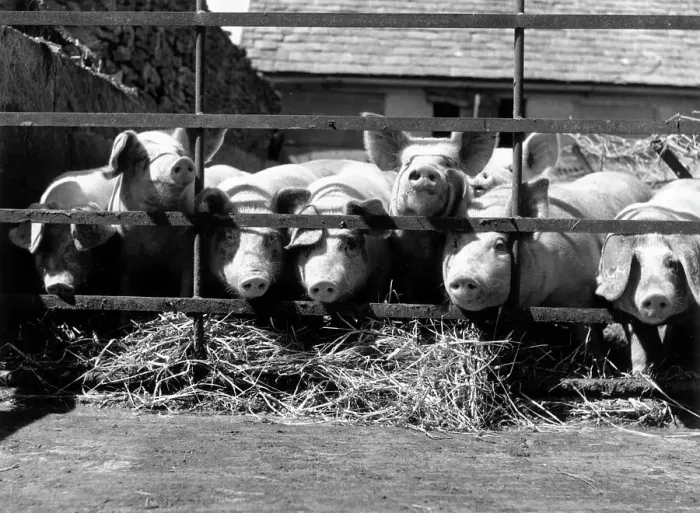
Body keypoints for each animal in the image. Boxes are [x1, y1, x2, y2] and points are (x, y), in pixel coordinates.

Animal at [443, 172, 653, 348]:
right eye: (455, 242)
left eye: (500, 245)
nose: (464, 277)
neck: (543, 301)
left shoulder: (582, 295)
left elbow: (588, 336)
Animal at [596, 178, 700, 373]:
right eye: (635, 264)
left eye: (672, 263)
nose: (656, 295)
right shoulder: (629, 316)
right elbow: (642, 340)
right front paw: (641, 372)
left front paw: (691, 372)